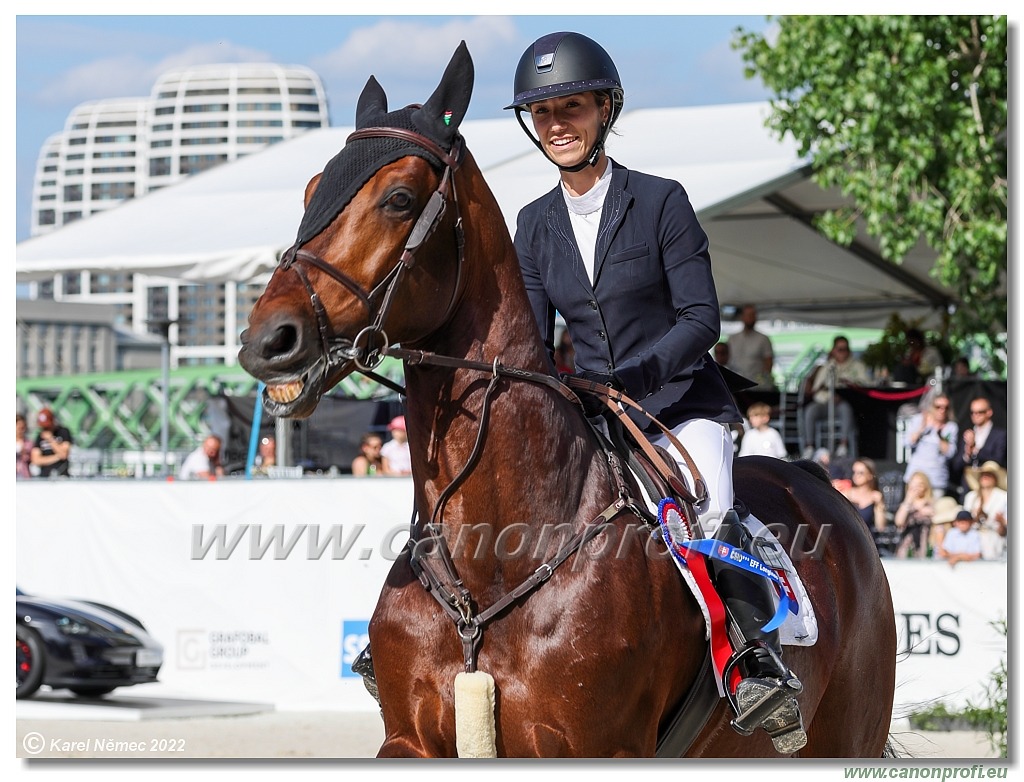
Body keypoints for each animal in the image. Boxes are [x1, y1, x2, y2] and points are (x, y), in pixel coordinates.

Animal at [239, 42, 897, 757]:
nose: (265, 341)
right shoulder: (410, 741)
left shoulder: (599, 746)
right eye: (311, 191)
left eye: (399, 198)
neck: (494, 557)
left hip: (848, 734)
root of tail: (820, 487)